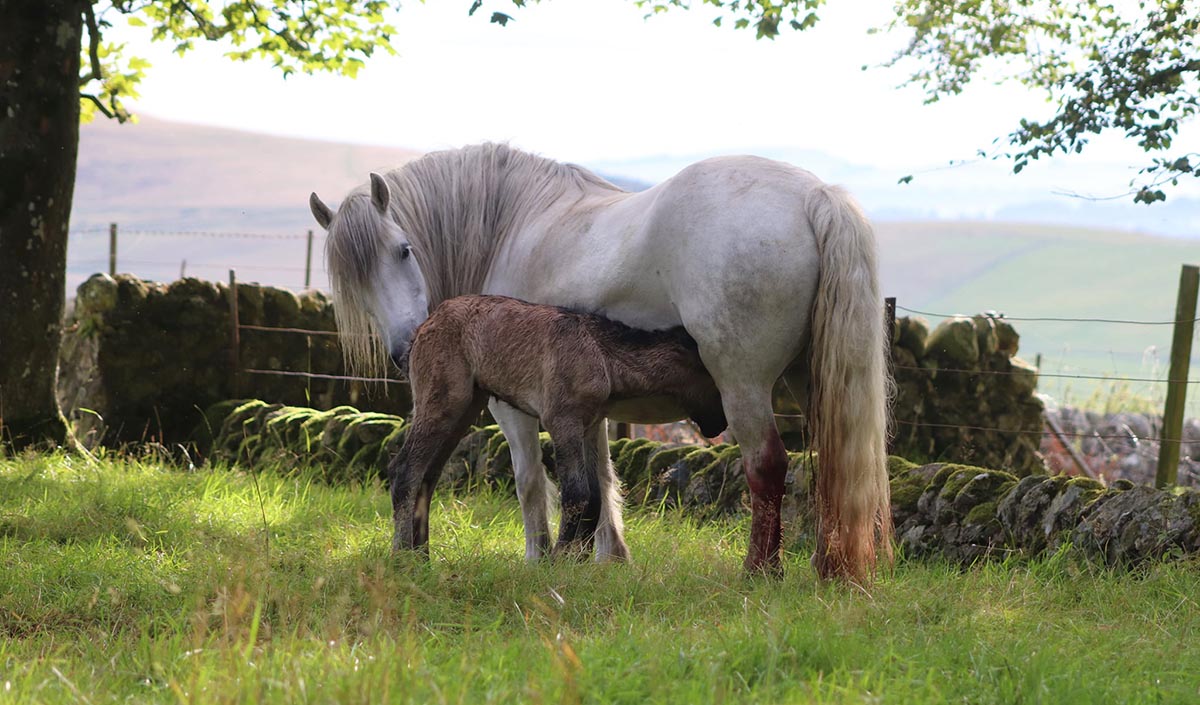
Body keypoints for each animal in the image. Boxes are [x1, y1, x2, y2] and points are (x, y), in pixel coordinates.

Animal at [309, 144, 892, 582]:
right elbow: (599, 478)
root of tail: (814, 196)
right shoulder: (588, 408)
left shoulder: (514, 408)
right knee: (834, 465)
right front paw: (609, 558)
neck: (513, 223)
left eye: (404, 249)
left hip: (742, 385)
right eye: (351, 286)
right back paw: (826, 569)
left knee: (766, 465)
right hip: (814, 382)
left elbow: (531, 480)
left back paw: (760, 571)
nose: (406, 347)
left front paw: (540, 557)